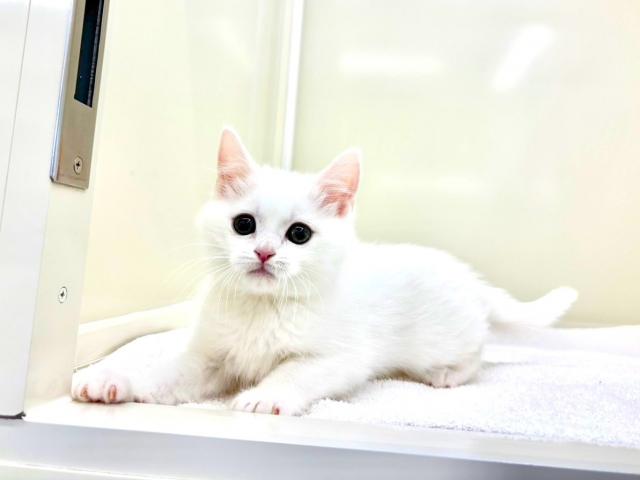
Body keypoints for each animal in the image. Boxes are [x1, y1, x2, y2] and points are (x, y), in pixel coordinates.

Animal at [71, 128, 578, 415]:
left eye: (299, 234)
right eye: (244, 224)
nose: (264, 253)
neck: (262, 310)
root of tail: (468, 277)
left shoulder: (341, 357)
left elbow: (296, 372)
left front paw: (265, 396)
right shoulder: (207, 359)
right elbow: (164, 374)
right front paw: (112, 381)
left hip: (443, 339)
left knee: (479, 350)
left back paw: (450, 374)